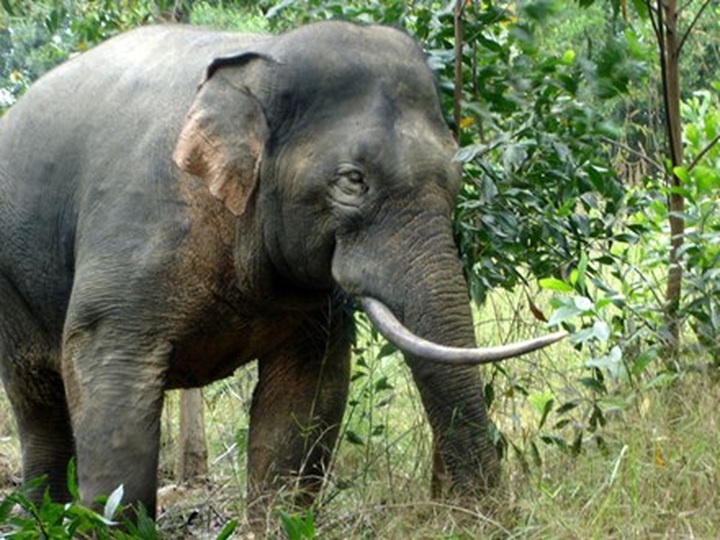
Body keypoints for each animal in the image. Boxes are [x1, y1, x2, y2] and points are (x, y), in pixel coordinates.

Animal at [0, 20, 564, 524]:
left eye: (457, 174)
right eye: (353, 180)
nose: (484, 517)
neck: (260, 60)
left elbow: (304, 400)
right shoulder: (136, 226)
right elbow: (111, 382)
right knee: (40, 406)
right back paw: (41, 517)